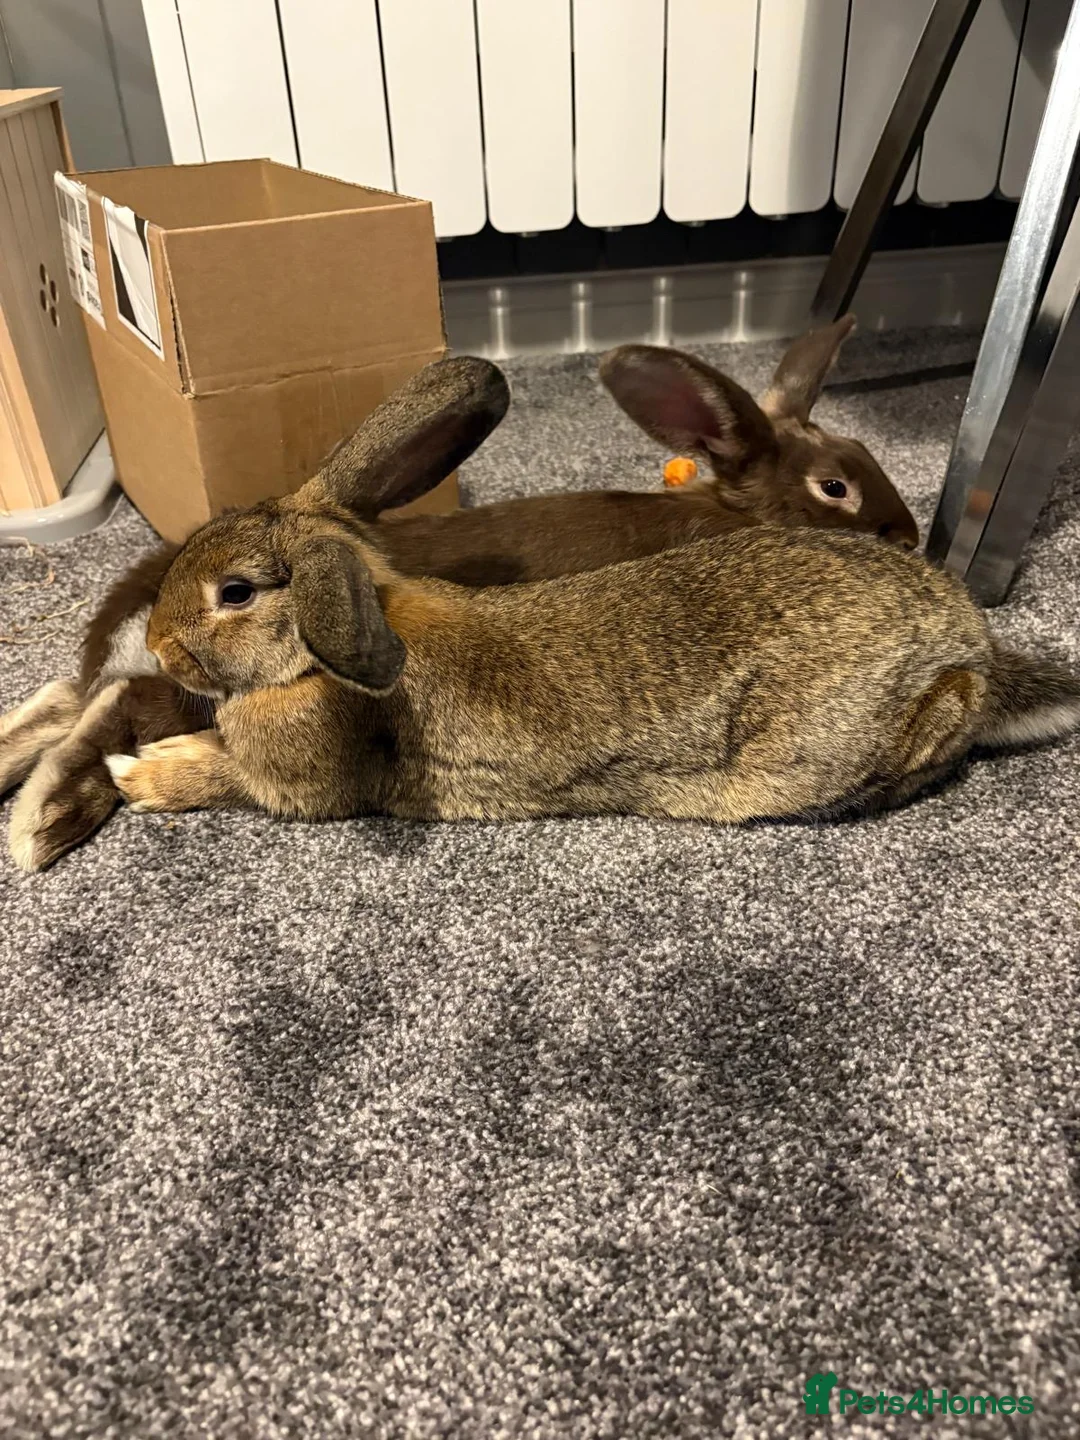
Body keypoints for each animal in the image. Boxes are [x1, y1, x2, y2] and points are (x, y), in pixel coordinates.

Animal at [4, 319, 918, 871]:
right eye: (835, 486)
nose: (910, 538)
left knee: (75, 698)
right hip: (187, 680)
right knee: (107, 703)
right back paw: (48, 815)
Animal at [85, 356, 1079, 833]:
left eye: (236, 592)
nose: (161, 647)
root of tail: (969, 645)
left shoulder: (297, 783)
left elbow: (223, 775)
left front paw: (141, 773)